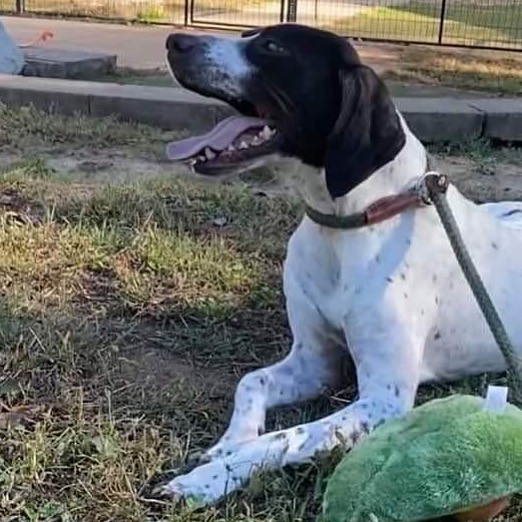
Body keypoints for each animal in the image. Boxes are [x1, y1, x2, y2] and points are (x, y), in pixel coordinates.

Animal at [160, 23, 520, 504]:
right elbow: (250, 382)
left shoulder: (383, 400)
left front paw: (210, 478)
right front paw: (226, 445)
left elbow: (282, 438)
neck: (348, 223)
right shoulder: (315, 361)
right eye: (248, 34)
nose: (174, 41)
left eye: (272, 46)